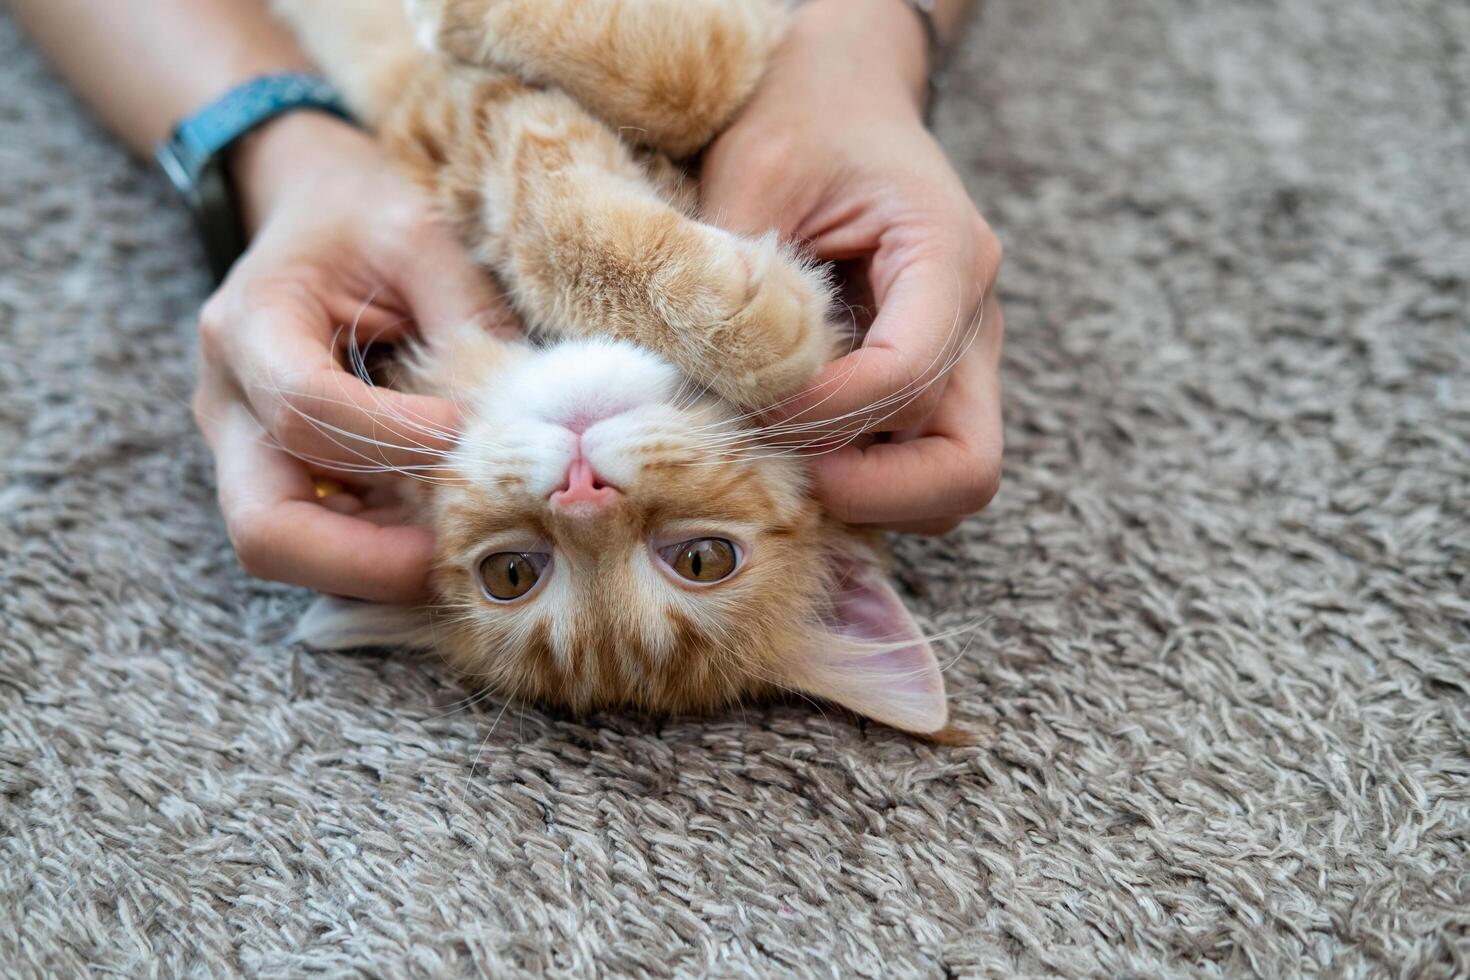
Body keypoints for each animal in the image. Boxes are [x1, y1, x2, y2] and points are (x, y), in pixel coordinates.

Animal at [276, 0, 952, 734]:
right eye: (511, 574)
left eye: (703, 559)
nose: (581, 489)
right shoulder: (449, 120)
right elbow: (669, 103)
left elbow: (682, 88)